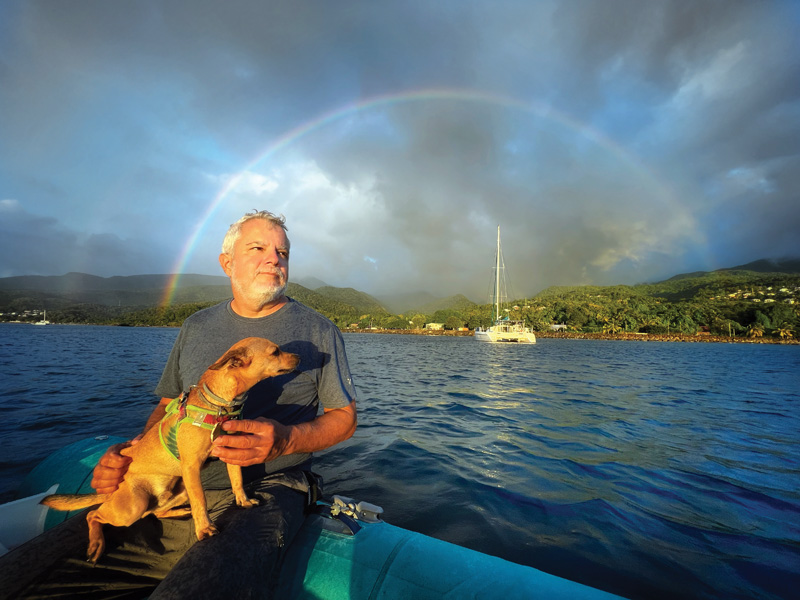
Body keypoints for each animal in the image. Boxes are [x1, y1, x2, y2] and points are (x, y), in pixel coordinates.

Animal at [39, 338, 300, 564]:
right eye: (275, 352)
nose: (299, 357)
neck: (219, 403)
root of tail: (114, 492)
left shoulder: (231, 453)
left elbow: (237, 482)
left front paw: (244, 502)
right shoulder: (191, 467)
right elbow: (201, 500)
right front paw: (205, 528)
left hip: (178, 491)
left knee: (156, 512)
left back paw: (180, 511)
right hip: (133, 505)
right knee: (93, 515)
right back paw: (96, 544)